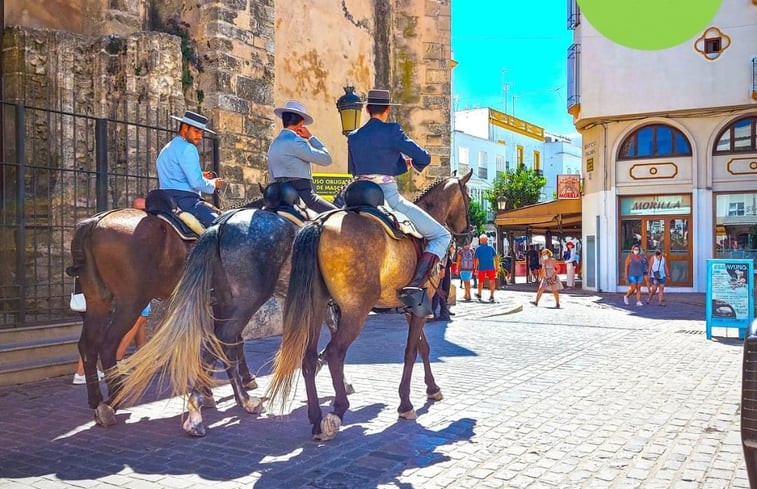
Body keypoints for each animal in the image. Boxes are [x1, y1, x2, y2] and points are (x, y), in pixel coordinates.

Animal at [268, 170, 472, 440]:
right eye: (468, 197)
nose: (469, 234)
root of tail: (319, 224)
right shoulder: (421, 305)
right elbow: (411, 352)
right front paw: (405, 404)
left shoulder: (413, 308)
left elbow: (423, 348)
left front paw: (432, 388)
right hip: (356, 311)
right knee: (334, 353)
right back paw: (337, 411)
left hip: (316, 306)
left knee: (309, 358)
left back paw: (316, 419)